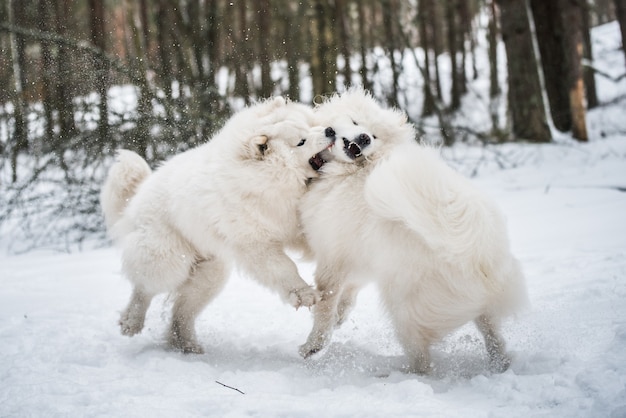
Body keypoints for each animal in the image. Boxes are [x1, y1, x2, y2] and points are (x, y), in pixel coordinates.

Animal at [100, 97, 332, 352]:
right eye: (301, 141)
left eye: (311, 125)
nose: (330, 130)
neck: (265, 181)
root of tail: (137, 198)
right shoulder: (255, 244)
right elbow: (283, 267)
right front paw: (304, 294)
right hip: (167, 254)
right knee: (146, 288)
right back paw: (132, 322)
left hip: (210, 271)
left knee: (183, 309)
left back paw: (187, 344)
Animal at [298, 90, 528, 374]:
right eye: (355, 122)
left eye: (373, 135)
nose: (363, 138)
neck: (353, 171)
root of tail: (473, 252)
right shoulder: (359, 258)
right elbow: (347, 296)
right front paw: (339, 318)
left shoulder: (332, 259)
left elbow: (324, 307)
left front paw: (313, 346)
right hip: (478, 306)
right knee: (492, 334)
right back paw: (500, 363)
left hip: (403, 310)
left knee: (422, 359)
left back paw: (403, 373)